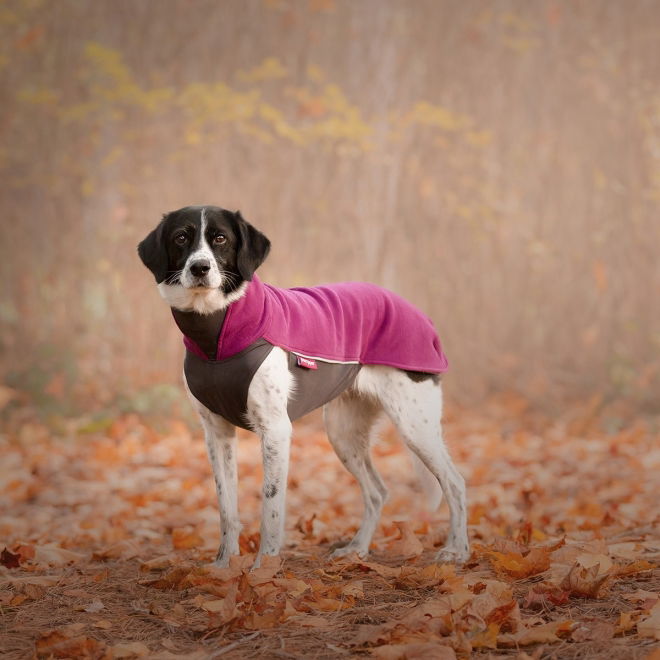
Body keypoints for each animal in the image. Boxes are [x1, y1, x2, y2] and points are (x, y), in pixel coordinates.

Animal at [139, 206, 470, 568]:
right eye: (181, 237)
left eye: (221, 238)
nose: (200, 267)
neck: (217, 333)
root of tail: (416, 312)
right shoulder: (216, 432)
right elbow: (227, 507)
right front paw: (224, 565)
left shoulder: (275, 430)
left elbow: (270, 508)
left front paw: (263, 568)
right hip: (342, 431)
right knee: (377, 491)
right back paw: (357, 549)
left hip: (414, 424)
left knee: (455, 483)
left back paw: (457, 550)